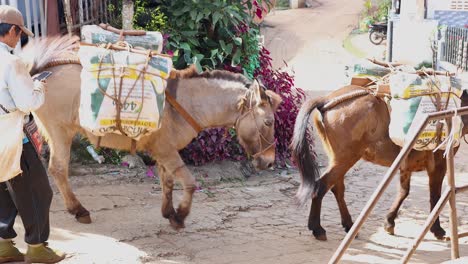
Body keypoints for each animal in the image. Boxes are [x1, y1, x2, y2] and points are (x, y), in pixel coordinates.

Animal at [19, 35, 282, 229]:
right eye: (269, 122)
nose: (270, 162)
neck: (184, 103)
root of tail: (39, 72)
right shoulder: (167, 151)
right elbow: (189, 183)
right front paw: (180, 215)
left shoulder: (163, 152)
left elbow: (168, 183)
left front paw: (169, 213)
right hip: (60, 132)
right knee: (58, 169)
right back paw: (78, 210)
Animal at [290, 84, 466, 241]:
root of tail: (326, 100)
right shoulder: (439, 165)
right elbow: (435, 197)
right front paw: (437, 229)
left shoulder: (406, 165)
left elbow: (404, 192)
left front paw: (389, 221)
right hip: (345, 158)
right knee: (321, 186)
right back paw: (317, 228)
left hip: (338, 159)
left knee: (337, 189)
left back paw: (348, 225)